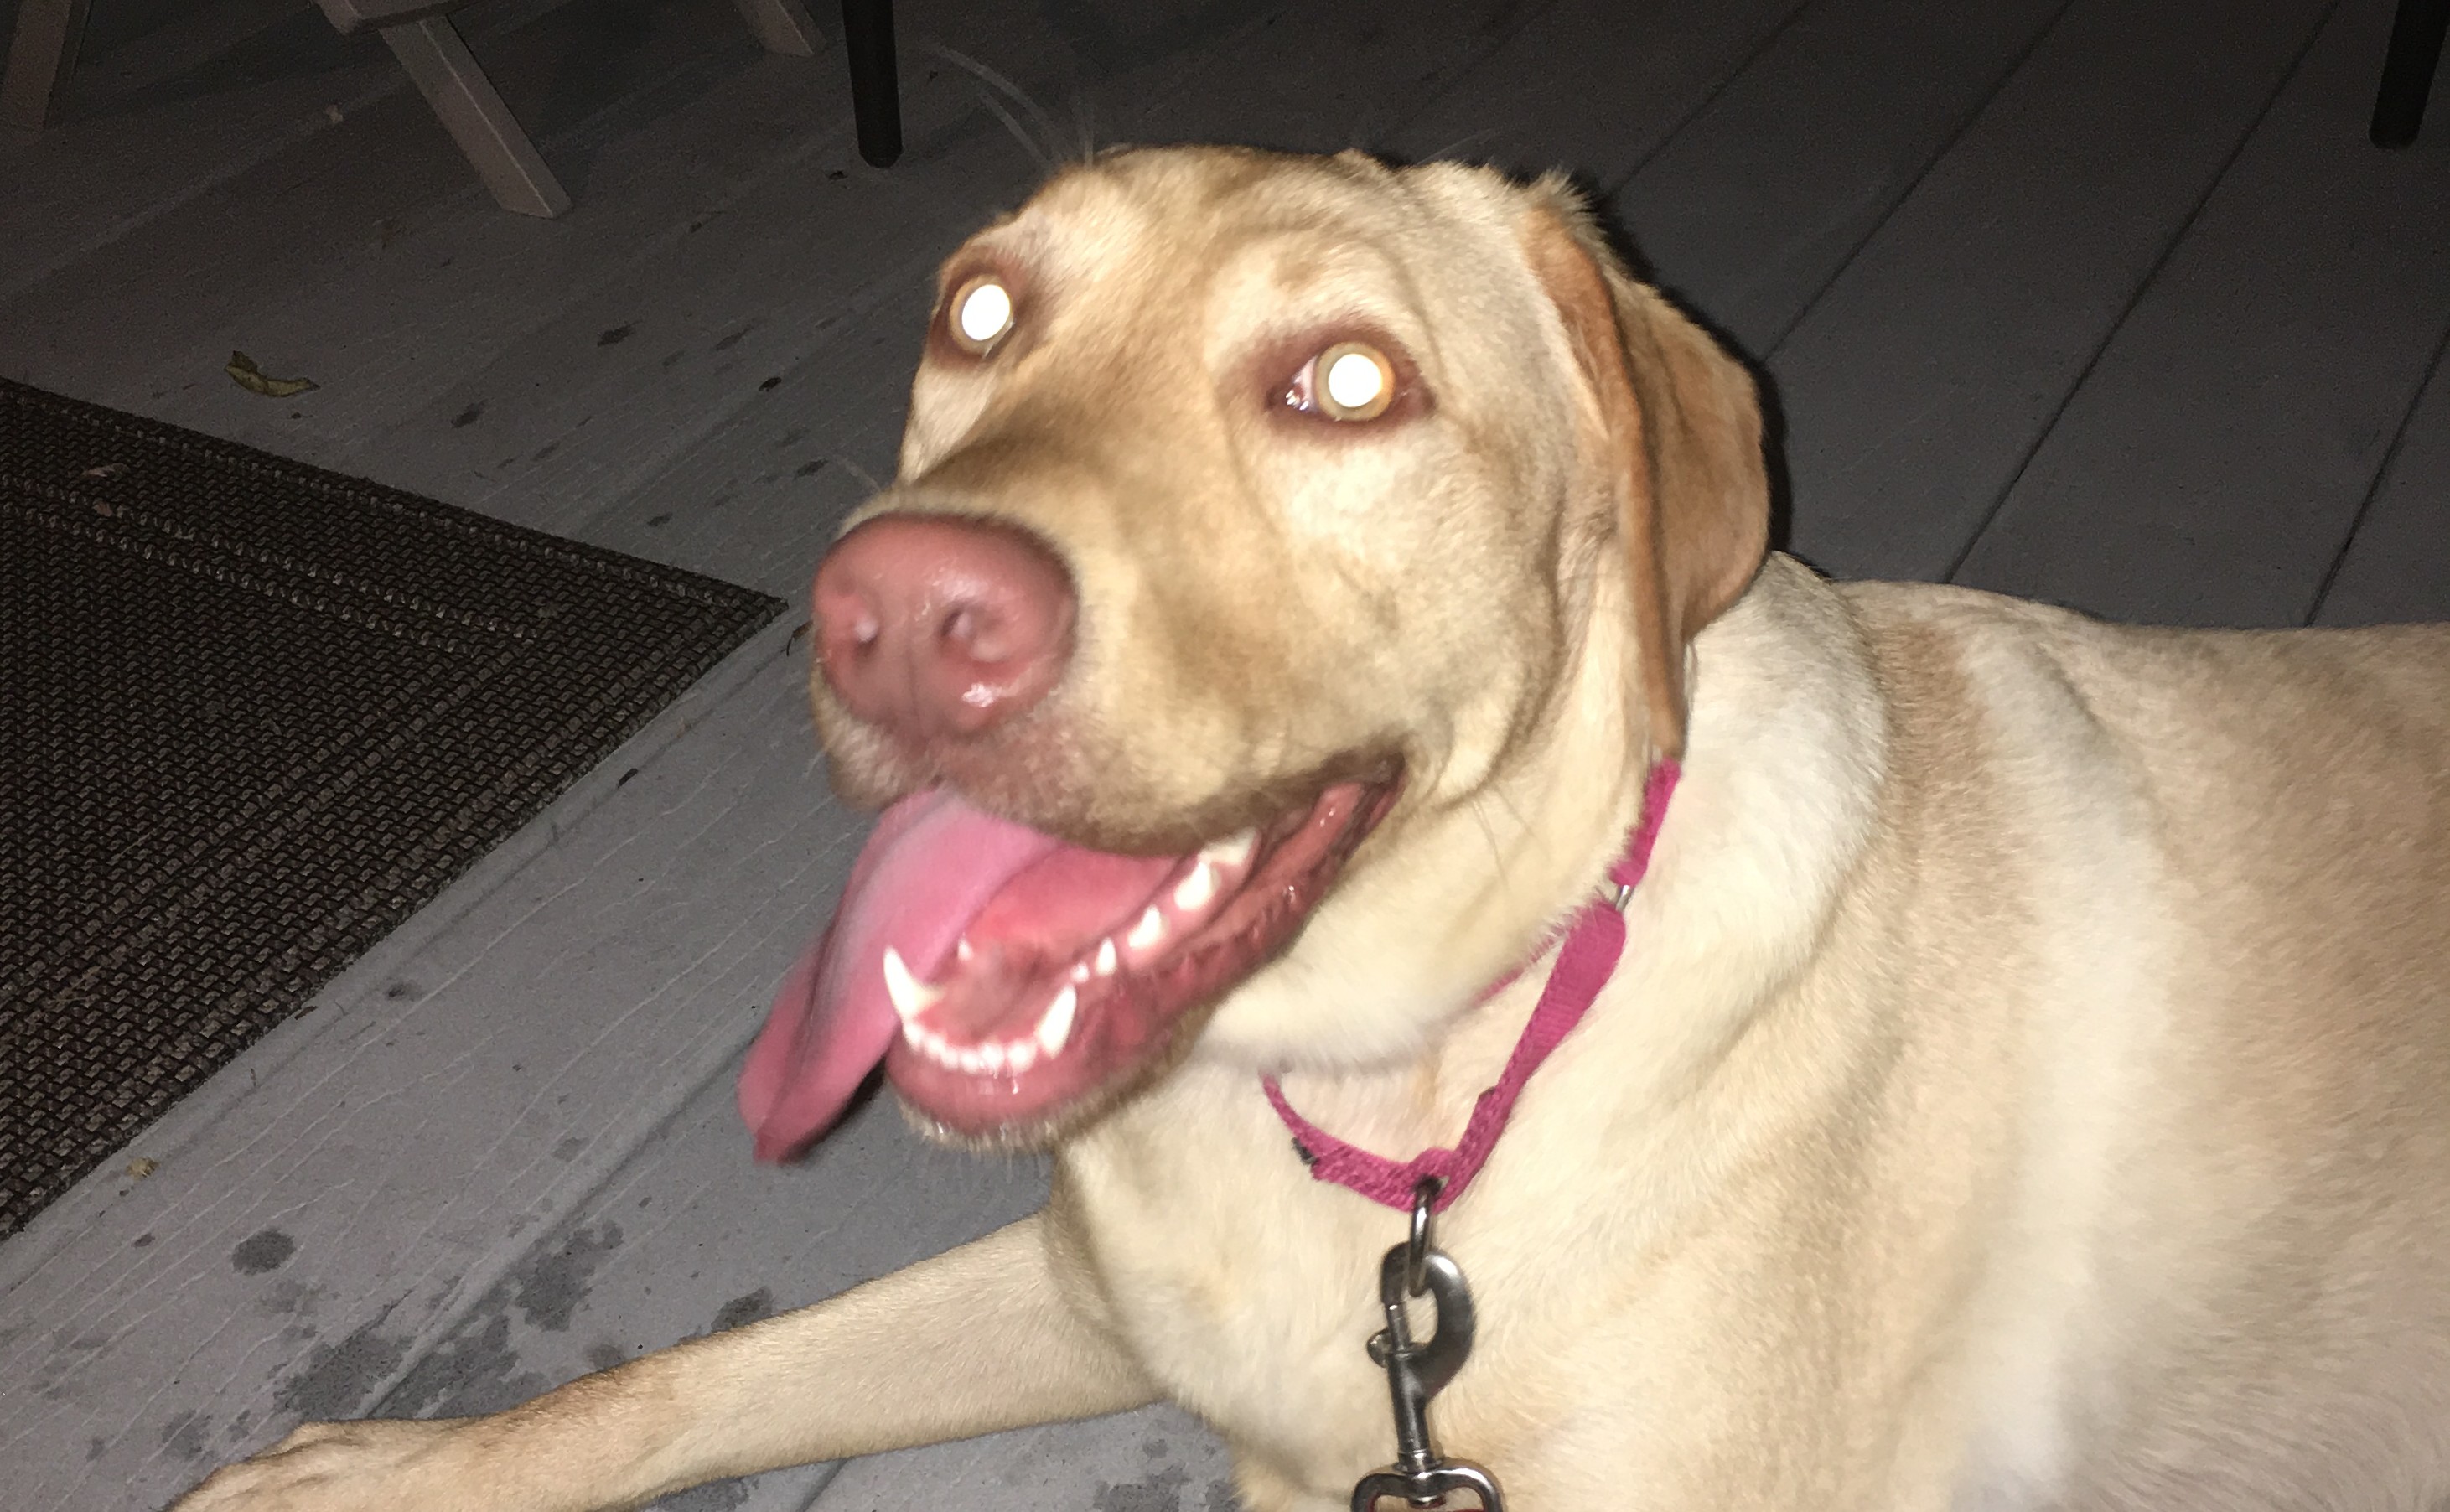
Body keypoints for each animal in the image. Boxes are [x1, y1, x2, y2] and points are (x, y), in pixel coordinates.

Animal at [173, 146, 2450, 1512]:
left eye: (1347, 382)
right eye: (979, 314)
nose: (898, 615)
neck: (1406, 1097)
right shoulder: (1092, 1291)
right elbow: (706, 1375)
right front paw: (390, 1474)